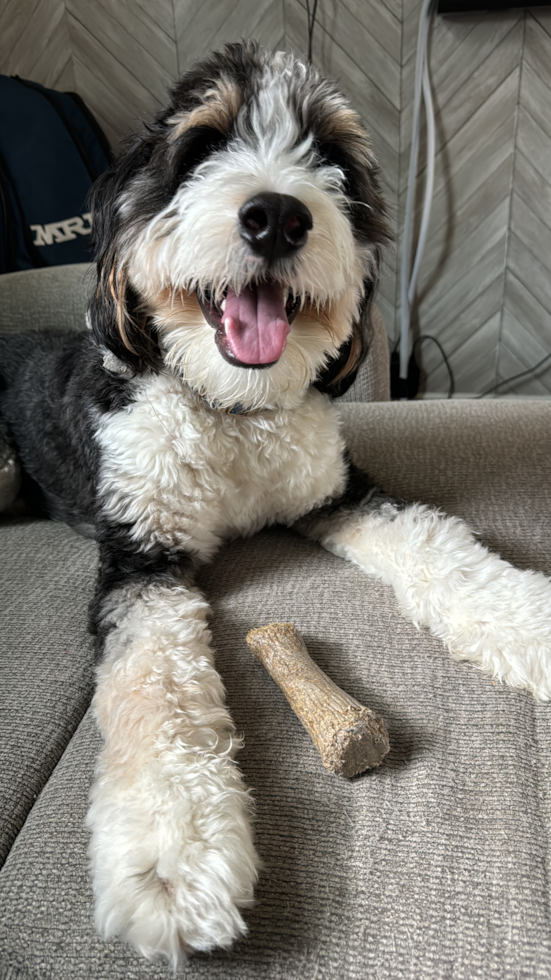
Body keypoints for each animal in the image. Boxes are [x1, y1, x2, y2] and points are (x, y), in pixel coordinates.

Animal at [1, 42, 551, 968]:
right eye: (200, 147)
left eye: (330, 159)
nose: (276, 217)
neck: (230, 410)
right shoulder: (140, 557)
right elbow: (155, 680)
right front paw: (173, 855)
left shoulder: (338, 492)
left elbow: (441, 550)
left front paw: (529, 621)